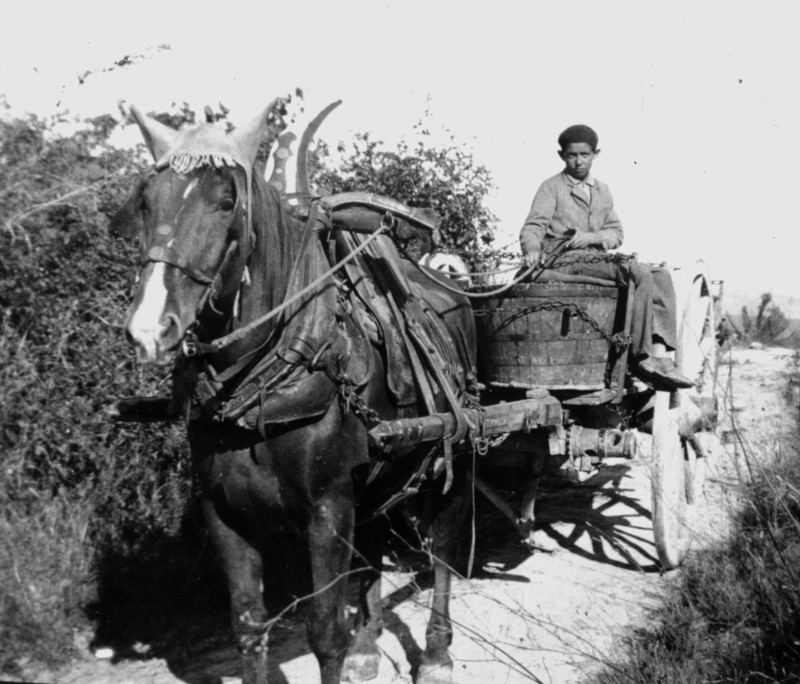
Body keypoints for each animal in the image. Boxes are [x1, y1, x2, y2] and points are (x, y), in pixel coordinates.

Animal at [109, 101, 478, 684]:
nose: (149, 328)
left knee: (443, 547)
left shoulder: (327, 508)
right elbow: (248, 629)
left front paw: (363, 645)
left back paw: (437, 651)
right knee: (374, 545)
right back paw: (369, 646)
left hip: (455, 454)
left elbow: (325, 632)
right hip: (378, 475)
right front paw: (354, 644)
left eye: (226, 202)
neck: (261, 386)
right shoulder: (224, 514)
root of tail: (451, 288)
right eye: (146, 201)